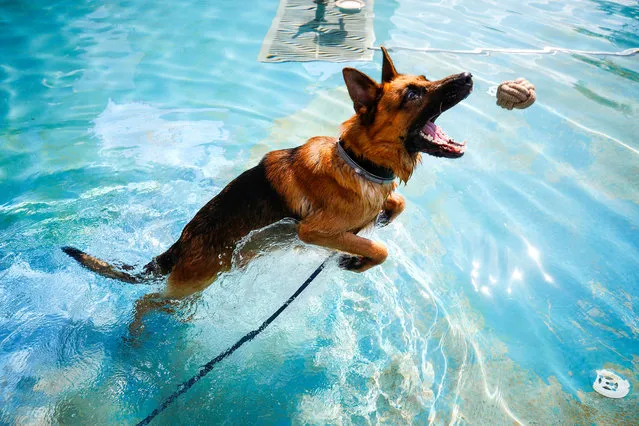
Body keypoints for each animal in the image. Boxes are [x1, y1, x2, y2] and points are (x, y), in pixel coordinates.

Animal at [63, 48, 476, 334]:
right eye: (413, 94)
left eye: (426, 78)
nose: (469, 75)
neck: (359, 161)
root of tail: (183, 242)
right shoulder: (314, 231)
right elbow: (378, 248)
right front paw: (360, 260)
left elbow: (397, 204)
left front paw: (385, 216)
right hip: (194, 283)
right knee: (147, 301)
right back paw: (134, 334)